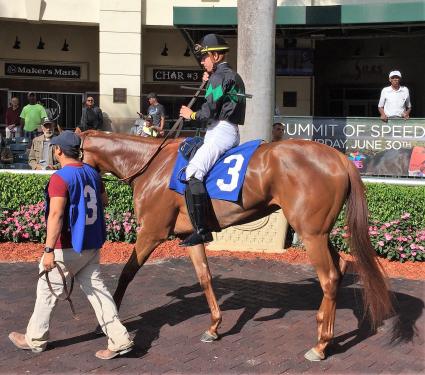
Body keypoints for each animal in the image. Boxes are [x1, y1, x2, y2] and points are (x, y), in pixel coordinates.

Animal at [78, 131, 390, 362]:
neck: (151, 166)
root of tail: (340, 158)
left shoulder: (151, 232)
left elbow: (126, 273)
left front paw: (105, 323)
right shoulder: (190, 235)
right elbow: (205, 277)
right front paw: (214, 327)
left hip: (311, 234)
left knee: (329, 278)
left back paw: (321, 345)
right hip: (320, 233)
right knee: (340, 268)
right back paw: (326, 333)